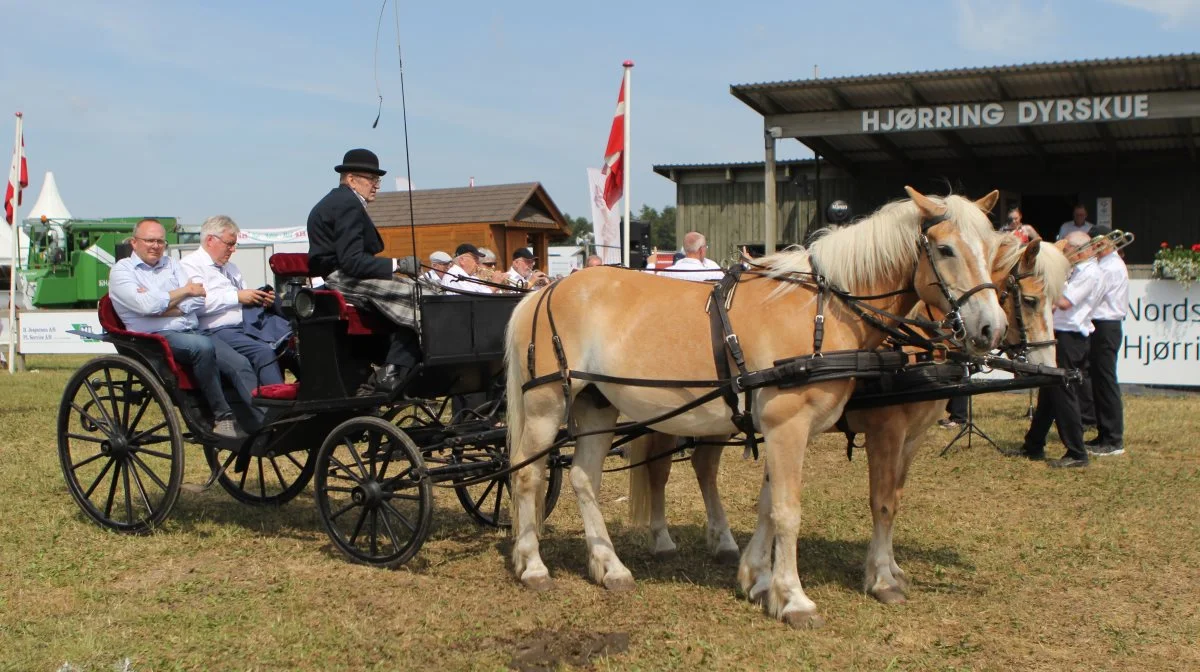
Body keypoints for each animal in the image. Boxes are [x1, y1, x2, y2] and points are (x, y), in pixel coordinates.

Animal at [501, 186, 1008, 628]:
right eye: (945, 249)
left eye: (992, 249)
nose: (992, 329)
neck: (822, 313)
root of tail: (544, 291)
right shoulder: (799, 426)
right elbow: (793, 509)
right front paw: (798, 598)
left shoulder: (793, 429)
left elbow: (769, 505)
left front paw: (759, 581)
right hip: (547, 407)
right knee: (528, 474)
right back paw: (533, 566)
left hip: (598, 405)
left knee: (585, 478)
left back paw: (610, 567)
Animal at [628, 238, 1070, 607]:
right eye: (1031, 300)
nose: (1049, 364)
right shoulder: (885, 432)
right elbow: (882, 501)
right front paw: (881, 579)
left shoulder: (910, 438)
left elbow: (893, 498)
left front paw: (889, 568)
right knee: (660, 471)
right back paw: (662, 538)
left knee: (702, 466)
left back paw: (721, 541)